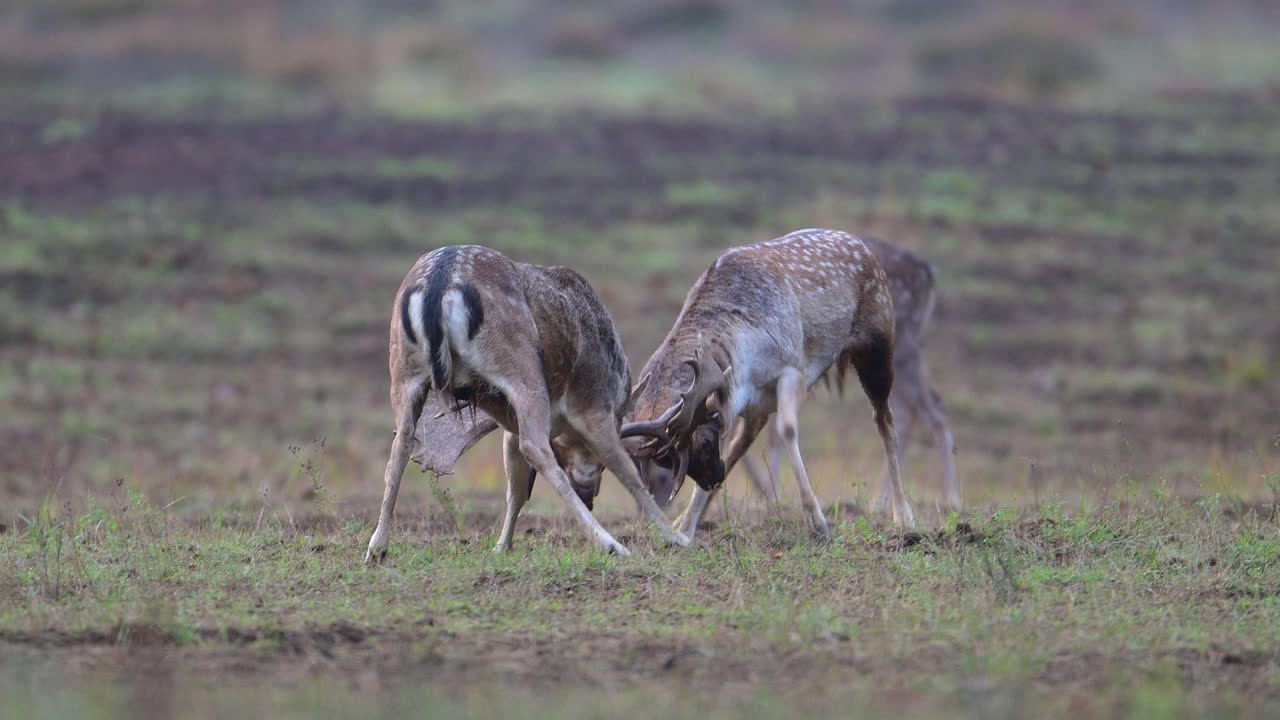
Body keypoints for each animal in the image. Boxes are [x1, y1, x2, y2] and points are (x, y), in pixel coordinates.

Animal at [366, 242, 691, 561]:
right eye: (594, 465)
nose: (588, 494)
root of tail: (439, 285)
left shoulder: (509, 424)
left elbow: (517, 487)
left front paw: (502, 545)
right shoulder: (592, 404)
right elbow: (628, 473)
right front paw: (676, 537)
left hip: (403, 369)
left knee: (401, 444)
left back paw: (377, 547)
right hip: (522, 370)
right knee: (536, 447)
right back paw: (610, 544)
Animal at [624, 226, 916, 535]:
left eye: (703, 443)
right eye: (669, 463)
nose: (715, 477)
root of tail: (864, 248)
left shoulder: (792, 368)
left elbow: (787, 429)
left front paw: (818, 521)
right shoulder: (735, 400)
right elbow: (736, 439)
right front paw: (685, 528)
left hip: (880, 345)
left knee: (885, 421)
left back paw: (903, 517)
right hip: (761, 406)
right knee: (743, 440)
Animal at [732, 238, 962, 512]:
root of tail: (928, 272)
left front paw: (771, 496)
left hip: (902, 345)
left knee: (929, 409)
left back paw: (948, 499)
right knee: (913, 408)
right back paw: (885, 501)